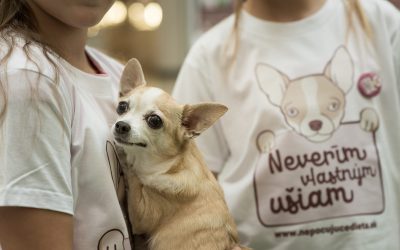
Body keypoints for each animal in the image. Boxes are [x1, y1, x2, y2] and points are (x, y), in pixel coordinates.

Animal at [112, 58, 248, 250]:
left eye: (154, 121)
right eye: (122, 106)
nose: (121, 125)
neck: (169, 165)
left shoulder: (141, 212)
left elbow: (134, 178)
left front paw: (125, 158)